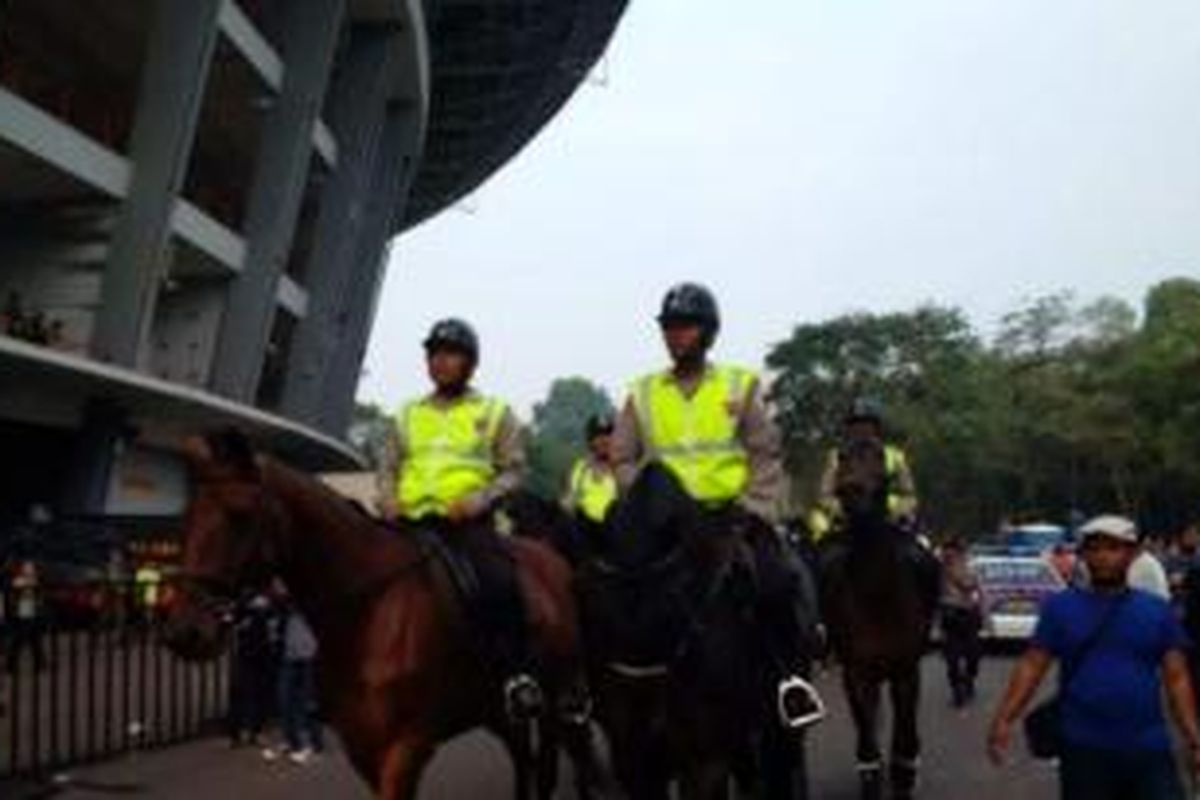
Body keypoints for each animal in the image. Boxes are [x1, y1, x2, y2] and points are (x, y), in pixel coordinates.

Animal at [159, 434, 590, 796]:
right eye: (188, 515)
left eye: (240, 514)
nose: (186, 631)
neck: (371, 612)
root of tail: (552, 560)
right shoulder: (363, 747)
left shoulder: (408, 747)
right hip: (500, 713)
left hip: (550, 703)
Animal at [820, 441, 940, 796]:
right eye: (842, 459)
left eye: (879, 463)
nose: (848, 490)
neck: (876, 595)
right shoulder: (856, 674)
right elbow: (868, 751)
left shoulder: (906, 672)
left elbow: (905, 745)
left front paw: (905, 775)